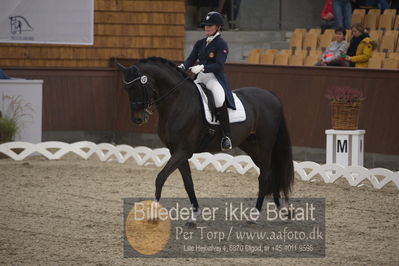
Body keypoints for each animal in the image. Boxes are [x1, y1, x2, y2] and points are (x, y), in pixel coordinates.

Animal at [117, 57, 296, 217]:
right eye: (126, 89)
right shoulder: (176, 151)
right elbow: (188, 183)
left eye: (137, 86)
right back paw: (279, 208)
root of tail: (271, 95)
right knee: (271, 172)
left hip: (265, 144)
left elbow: (160, 177)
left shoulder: (183, 151)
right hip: (252, 146)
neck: (178, 102)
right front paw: (194, 215)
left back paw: (255, 214)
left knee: (265, 176)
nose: (138, 119)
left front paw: (153, 212)